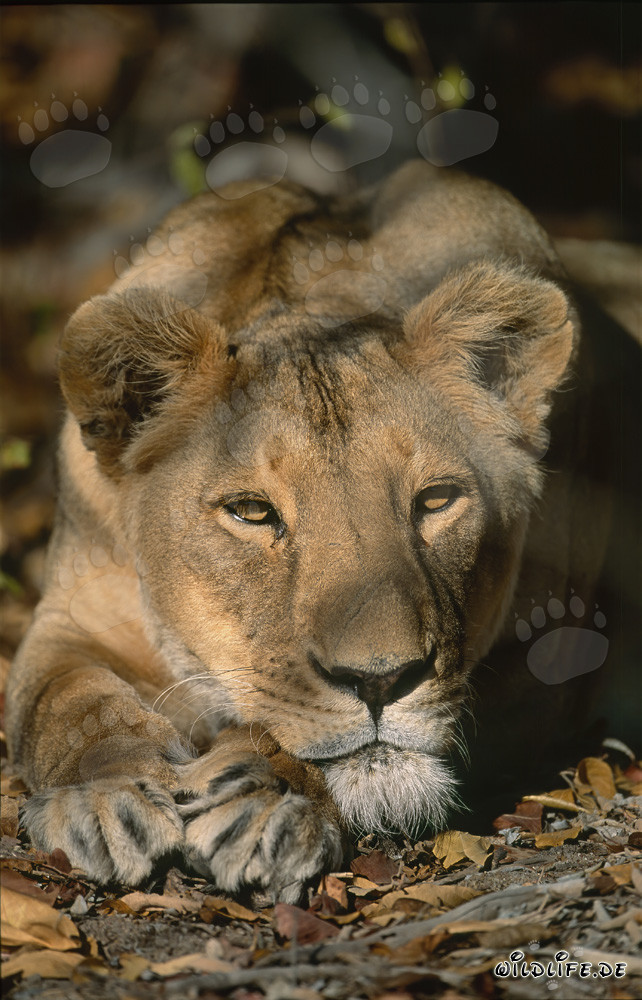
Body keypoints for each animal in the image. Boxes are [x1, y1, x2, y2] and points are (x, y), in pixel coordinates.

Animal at [6, 160, 640, 901]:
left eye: (436, 501)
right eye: (253, 512)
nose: (381, 682)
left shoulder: (552, 655)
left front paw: (265, 797)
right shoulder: (69, 618)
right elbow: (66, 704)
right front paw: (106, 798)